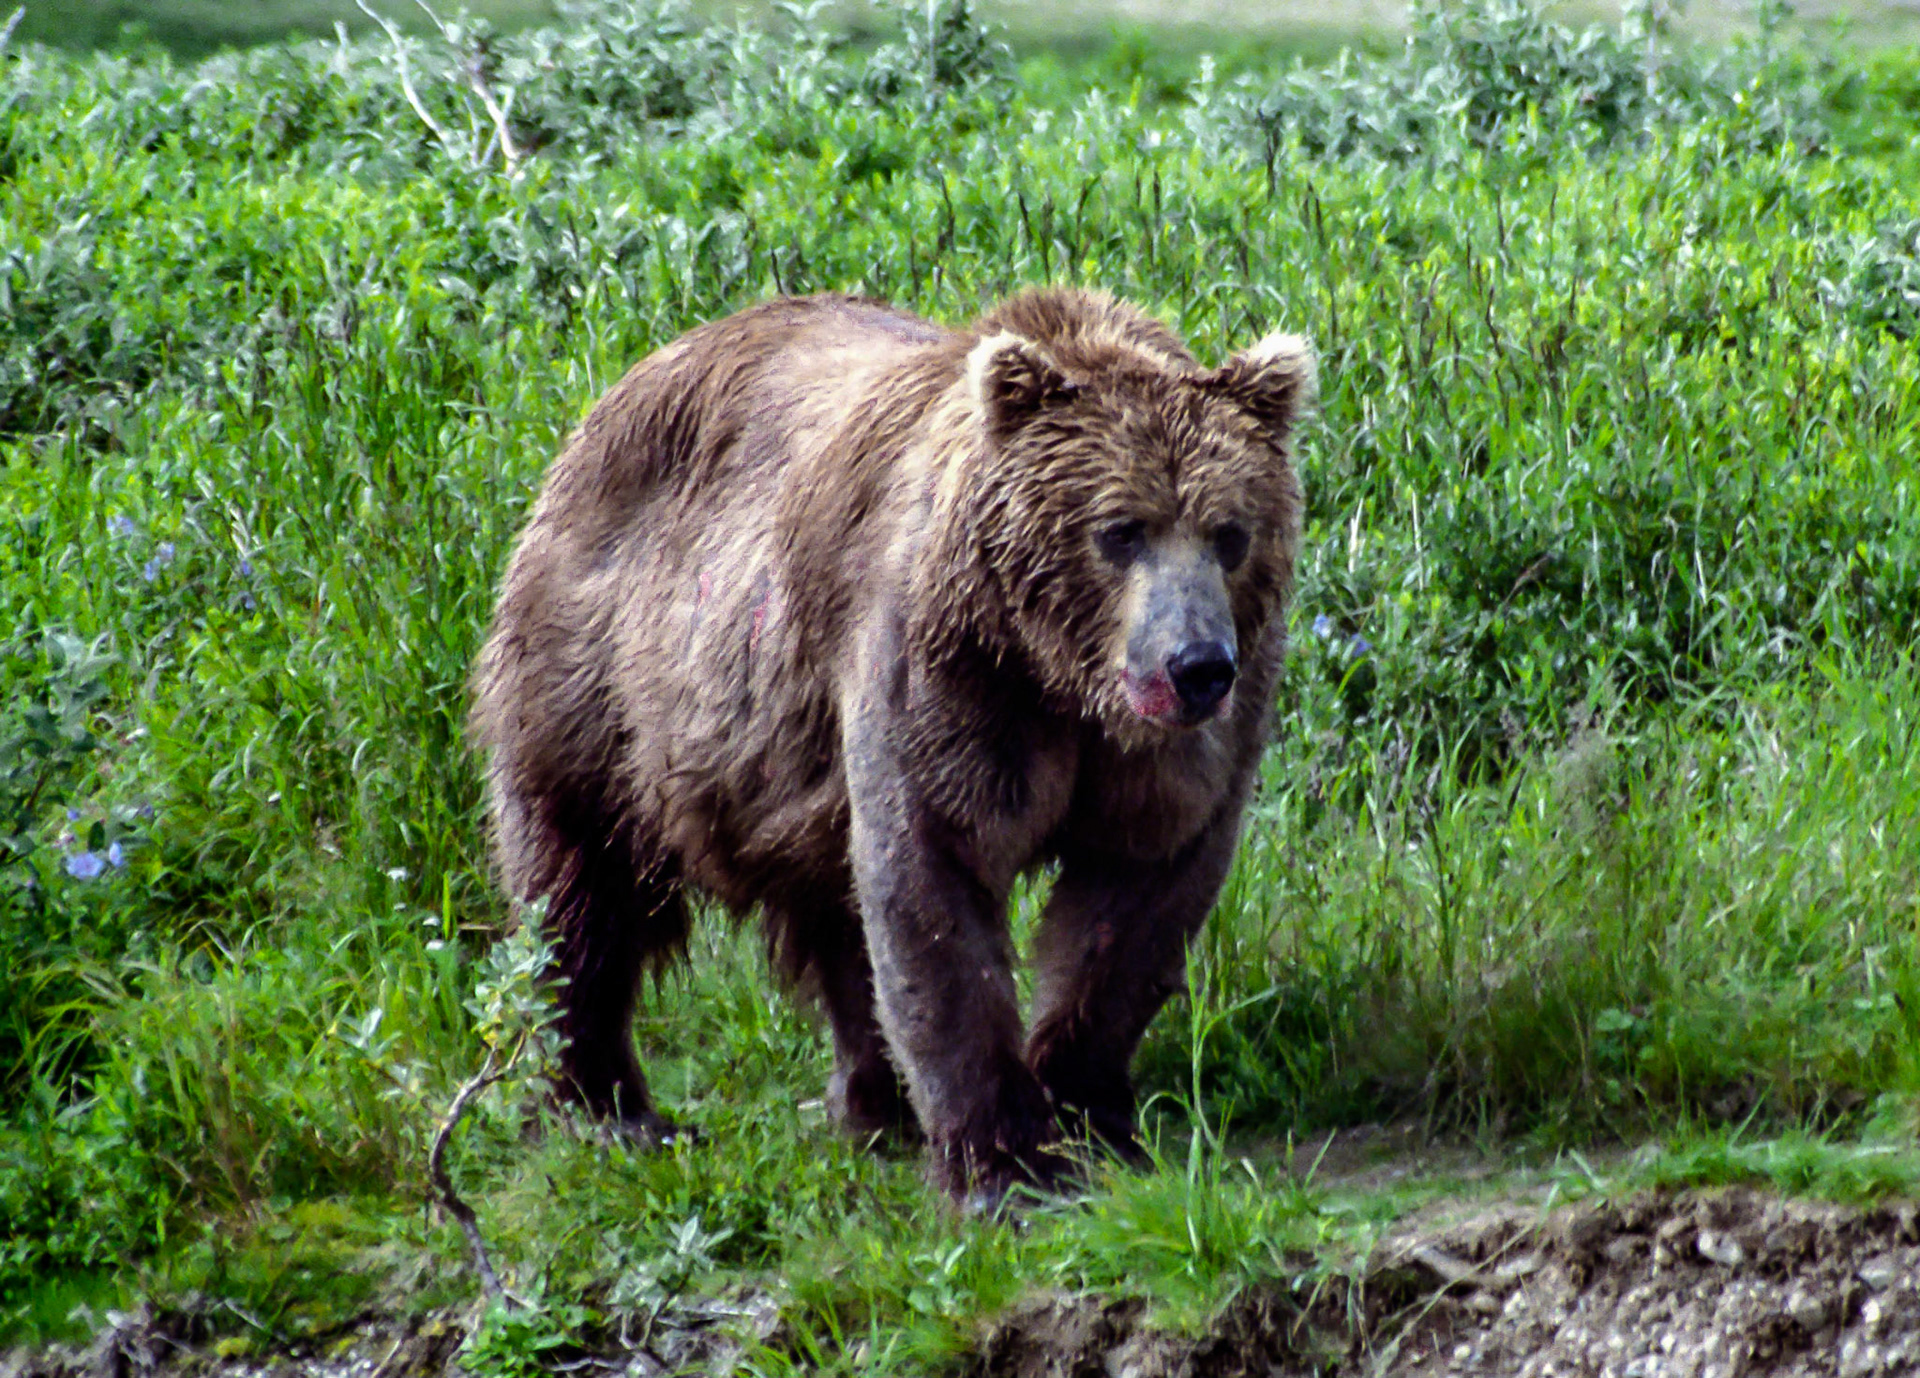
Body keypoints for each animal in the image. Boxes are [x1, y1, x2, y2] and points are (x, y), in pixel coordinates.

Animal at [470, 286, 1313, 1203]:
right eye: (1120, 530)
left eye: (1229, 532)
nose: (1196, 665)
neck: (1062, 675)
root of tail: (620, 386)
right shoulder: (951, 670)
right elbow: (934, 880)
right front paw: (1004, 1162)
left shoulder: (1166, 748)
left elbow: (1139, 894)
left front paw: (1089, 1110)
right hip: (607, 675)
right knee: (583, 879)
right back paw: (608, 1106)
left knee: (832, 910)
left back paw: (875, 1102)